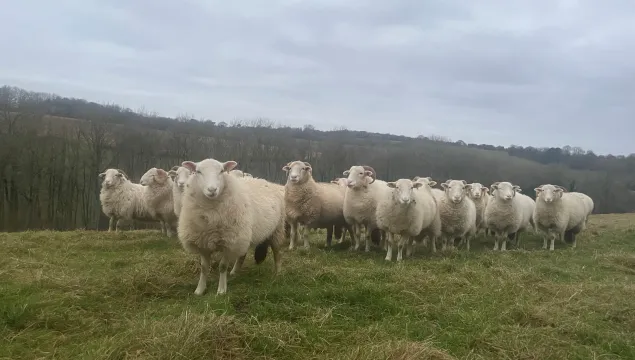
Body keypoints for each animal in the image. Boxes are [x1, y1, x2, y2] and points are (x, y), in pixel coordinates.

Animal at [178, 158, 284, 296]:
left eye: (222, 171)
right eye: (198, 171)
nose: (212, 190)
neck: (211, 213)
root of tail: (264, 181)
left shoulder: (229, 242)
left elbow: (222, 267)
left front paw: (221, 290)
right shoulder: (203, 242)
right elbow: (204, 268)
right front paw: (199, 290)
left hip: (276, 229)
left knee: (277, 253)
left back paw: (278, 273)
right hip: (244, 234)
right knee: (242, 254)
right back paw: (234, 271)